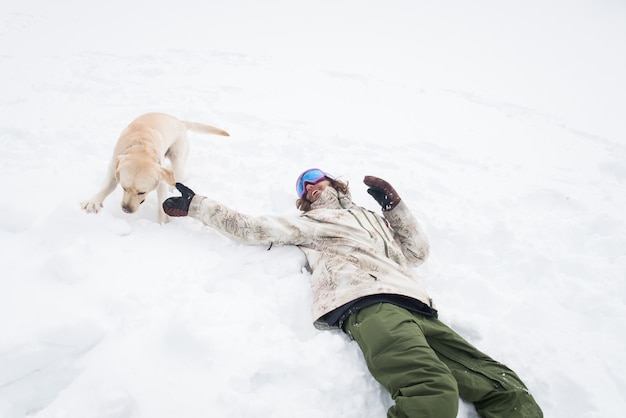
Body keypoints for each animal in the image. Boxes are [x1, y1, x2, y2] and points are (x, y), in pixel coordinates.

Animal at [81, 111, 229, 222]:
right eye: (124, 188)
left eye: (142, 192)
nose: (126, 209)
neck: (141, 146)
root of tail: (179, 121)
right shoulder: (114, 170)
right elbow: (105, 188)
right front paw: (93, 202)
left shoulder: (161, 180)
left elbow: (161, 202)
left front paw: (163, 223)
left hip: (178, 158)